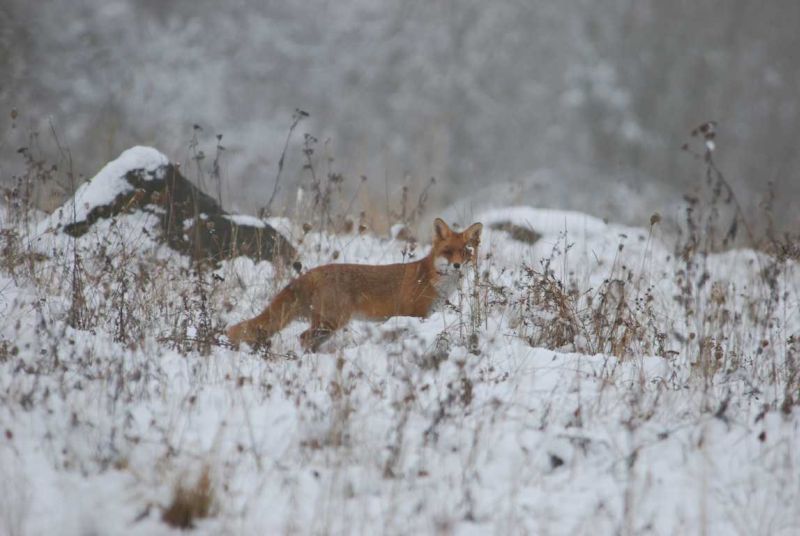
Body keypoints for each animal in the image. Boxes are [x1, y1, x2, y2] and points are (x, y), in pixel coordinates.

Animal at [228, 218, 484, 352]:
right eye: (448, 252)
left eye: (465, 251)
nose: (457, 266)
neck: (432, 279)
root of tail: (313, 272)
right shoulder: (415, 313)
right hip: (331, 322)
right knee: (303, 338)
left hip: (327, 325)